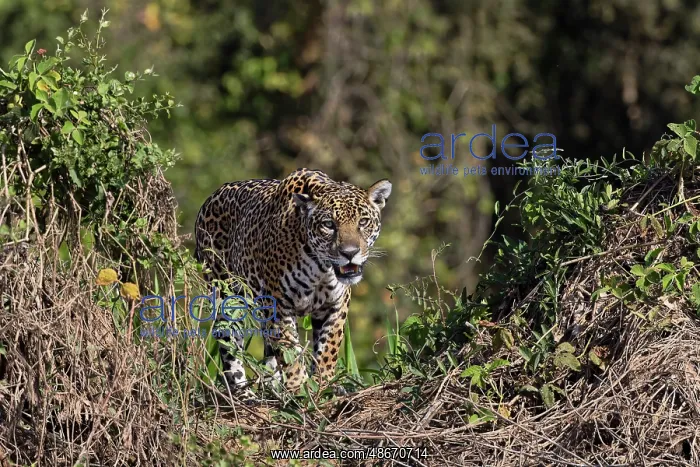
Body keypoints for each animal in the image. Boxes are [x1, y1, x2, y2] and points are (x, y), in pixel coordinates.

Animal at [194, 168, 392, 392]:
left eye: (363, 222)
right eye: (328, 225)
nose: (349, 253)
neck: (322, 268)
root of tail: (210, 198)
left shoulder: (336, 304)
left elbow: (328, 348)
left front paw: (323, 385)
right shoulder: (279, 303)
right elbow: (289, 350)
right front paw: (299, 387)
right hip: (227, 298)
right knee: (230, 347)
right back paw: (244, 393)